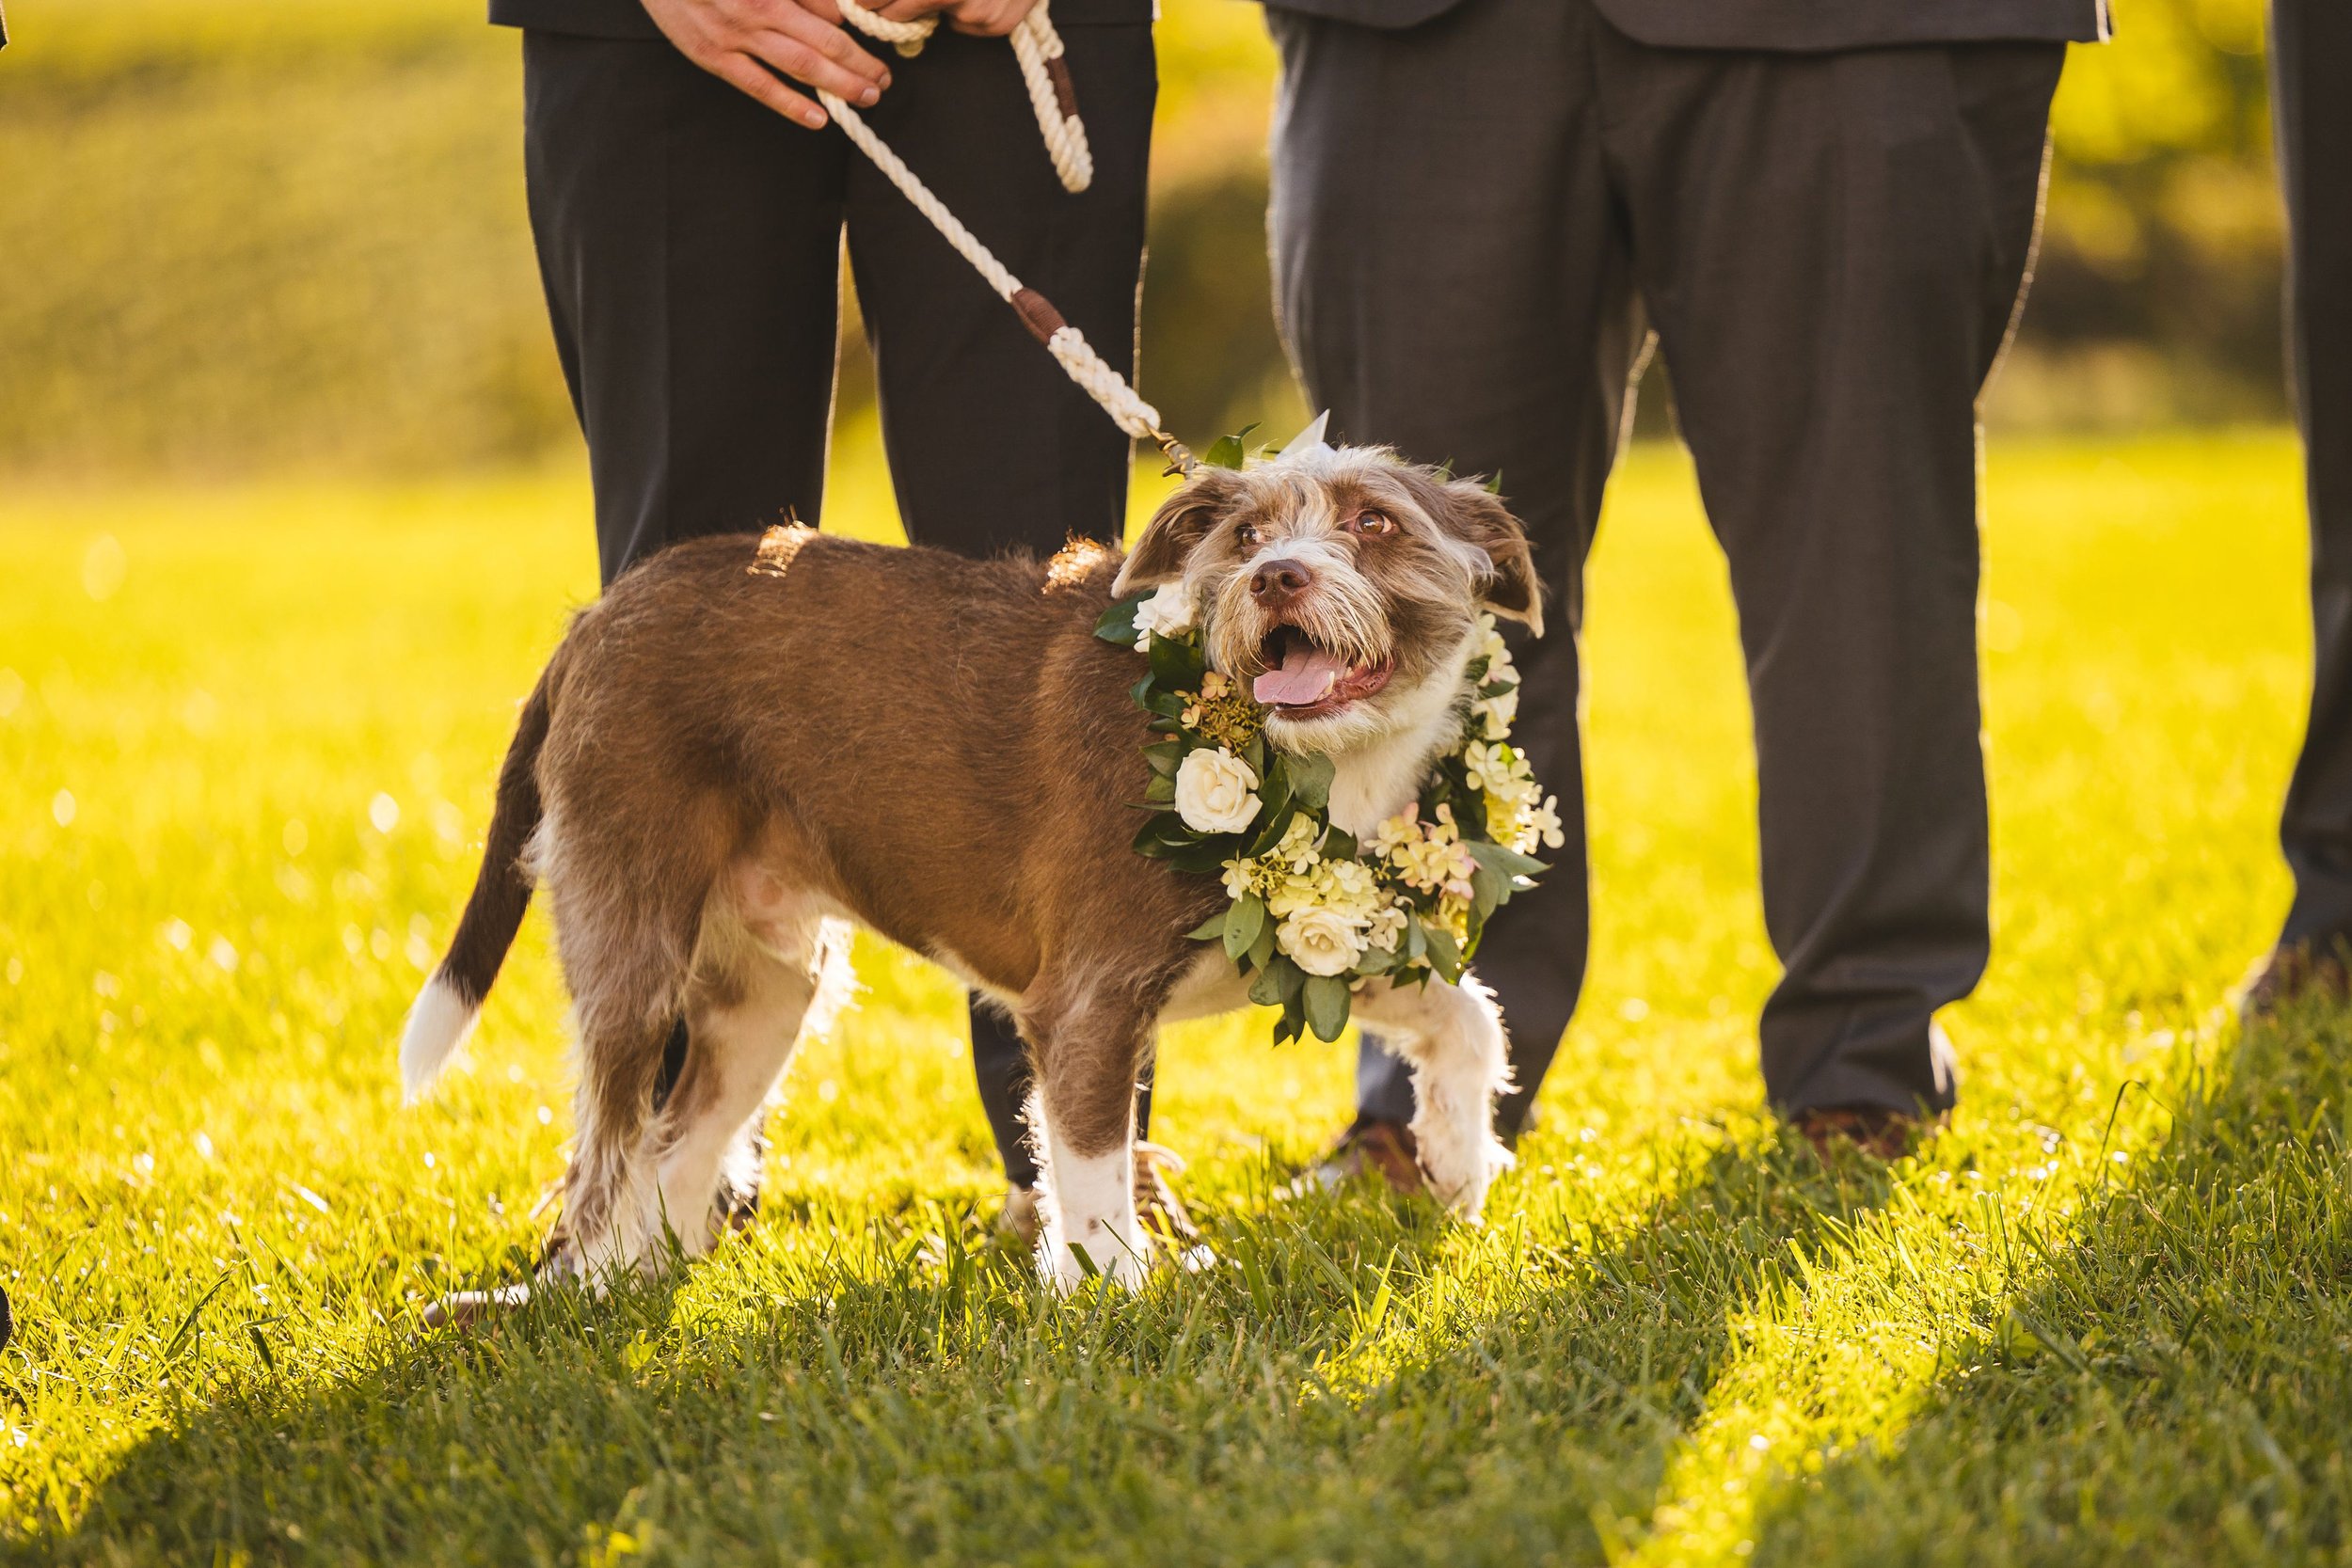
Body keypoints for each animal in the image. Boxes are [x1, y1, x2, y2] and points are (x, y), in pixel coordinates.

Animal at [405, 432, 1543, 1288]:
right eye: (1246, 532)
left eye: (1375, 522)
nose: (1276, 576)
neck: (1297, 760)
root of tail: (593, 618)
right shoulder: (1084, 1001)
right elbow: (1091, 1171)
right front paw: (1112, 1300)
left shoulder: (1313, 945)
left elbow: (1470, 1015)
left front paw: (1457, 1161)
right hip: (634, 939)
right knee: (607, 1153)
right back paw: (588, 1295)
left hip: (767, 987)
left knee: (676, 1146)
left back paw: (658, 1280)